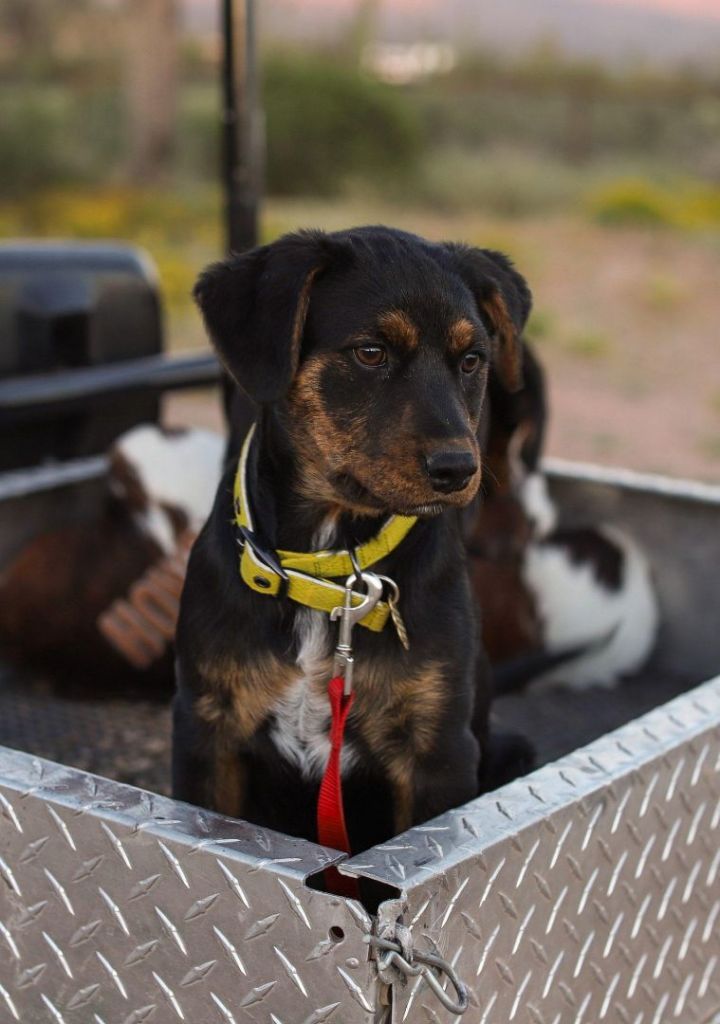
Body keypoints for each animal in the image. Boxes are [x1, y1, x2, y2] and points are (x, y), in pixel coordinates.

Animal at [174, 228, 532, 860]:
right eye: (370, 353)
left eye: (472, 361)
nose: (458, 470)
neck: (332, 564)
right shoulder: (206, 731)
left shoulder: (438, 751)